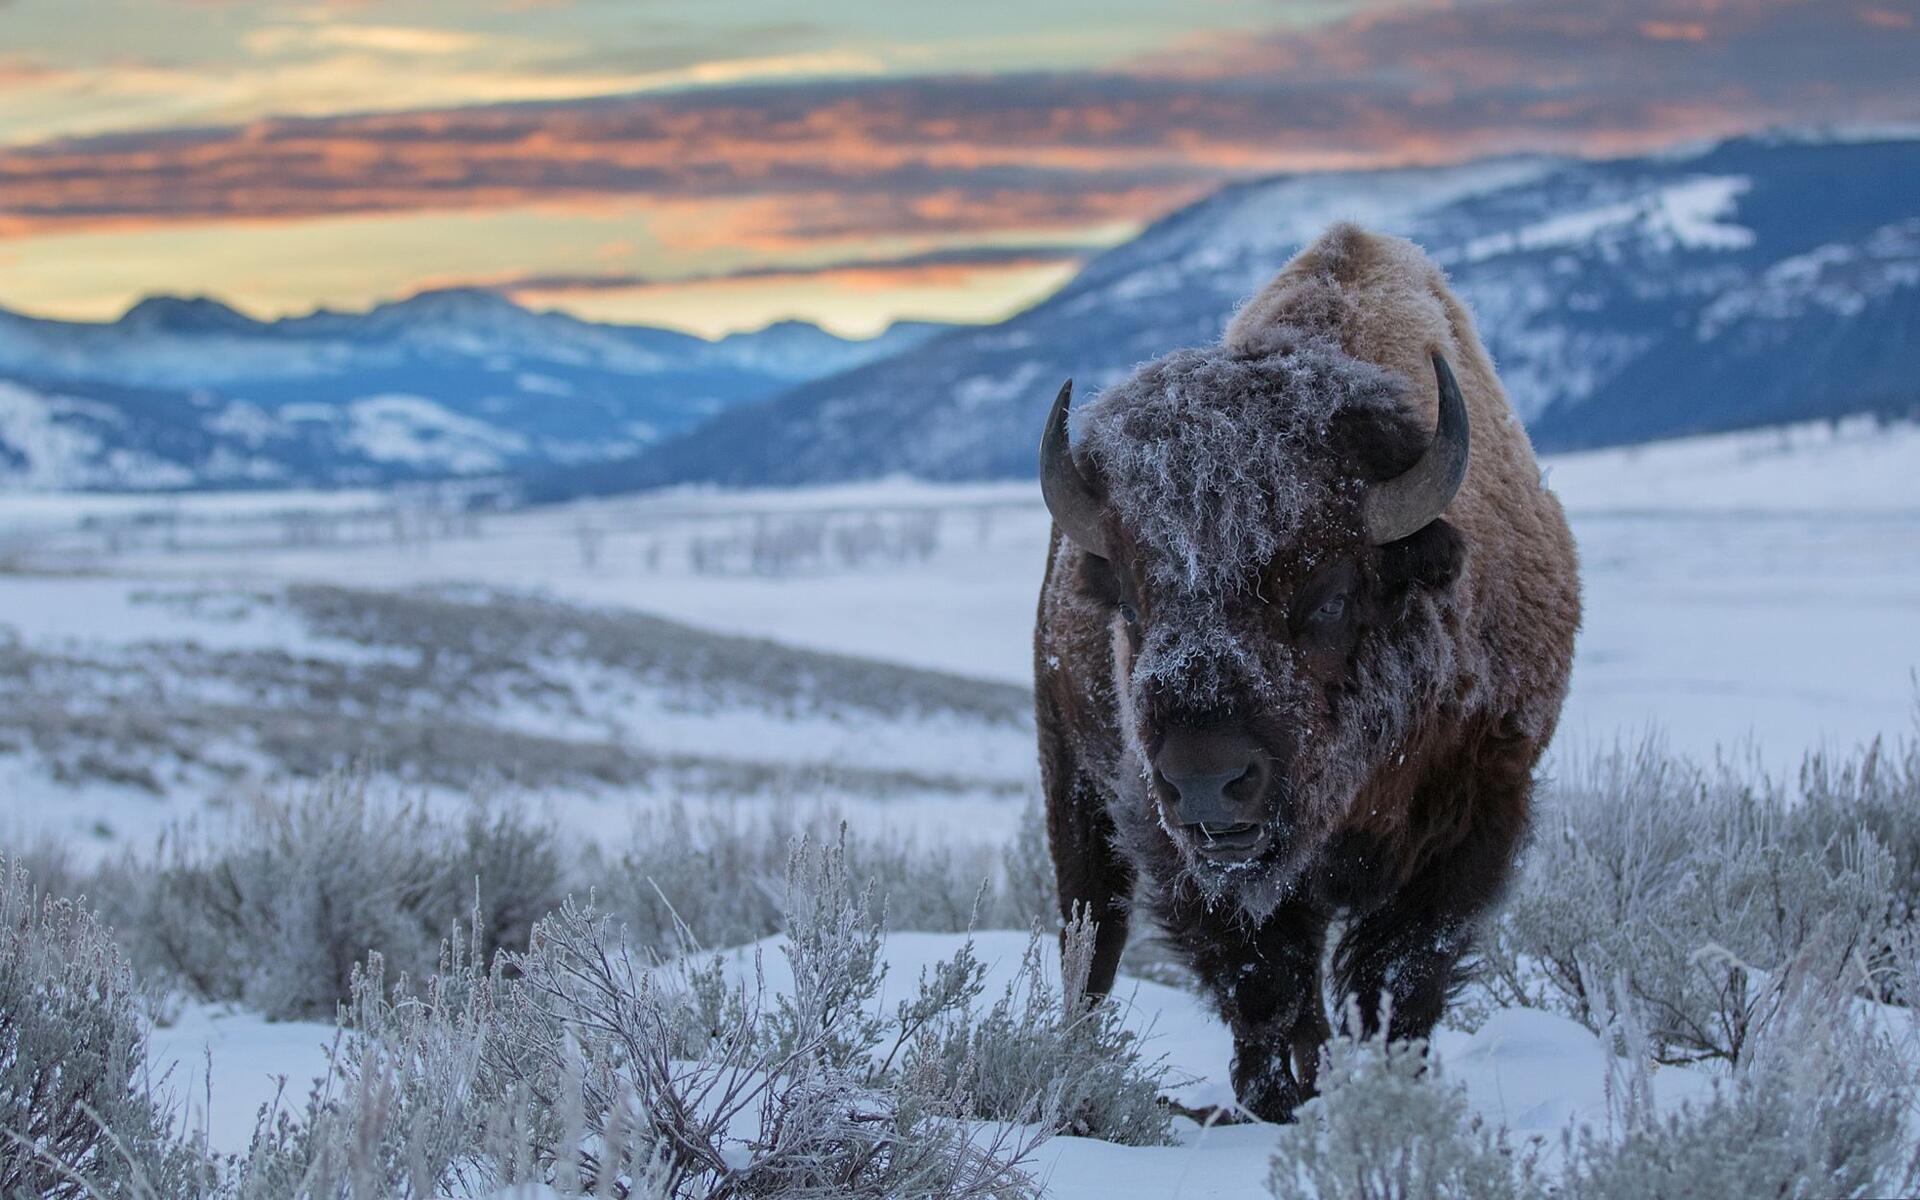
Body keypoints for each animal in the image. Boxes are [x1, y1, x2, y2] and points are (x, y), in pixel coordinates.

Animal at [1036, 219, 1574, 1121]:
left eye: (1328, 596)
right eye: (1135, 607)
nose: (1207, 783)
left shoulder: (1474, 816)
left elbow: (1399, 974)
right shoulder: (1179, 843)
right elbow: (1263, 977)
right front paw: (1277, 1095)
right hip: (1072, 782)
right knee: (1093, 940)